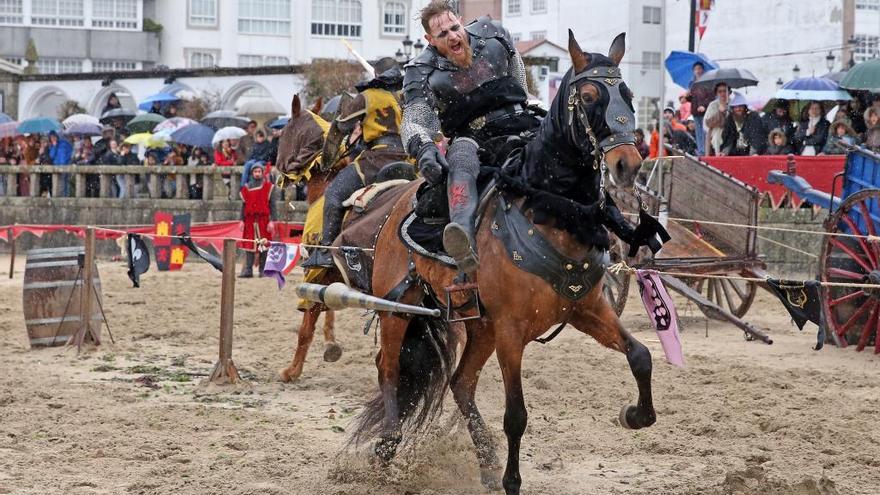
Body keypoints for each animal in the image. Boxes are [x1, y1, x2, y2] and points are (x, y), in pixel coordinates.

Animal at [350, 32, 652, 495]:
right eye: (587, 96)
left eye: (628, 95)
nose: (626, 165)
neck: (550, 210)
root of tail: (396, 203)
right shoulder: (512, 330)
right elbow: (516, 415)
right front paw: (513, 480)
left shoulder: (588, 310)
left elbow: (641, 356)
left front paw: (635, 414)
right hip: (398, 310)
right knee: (389, 370)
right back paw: (388, 447)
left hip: (480, 326)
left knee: (460, 383)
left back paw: (487, 462)